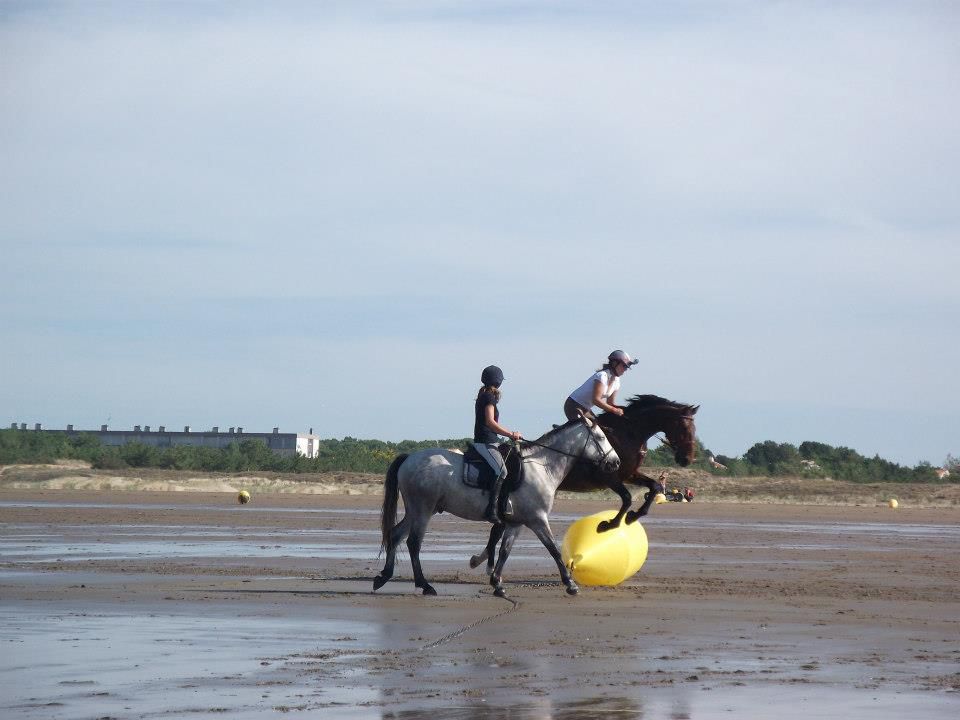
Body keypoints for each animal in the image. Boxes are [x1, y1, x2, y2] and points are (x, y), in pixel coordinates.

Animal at [373, 415, 621, 598]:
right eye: (600, 437)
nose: (615, 462)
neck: (541, 466)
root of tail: (409, 458)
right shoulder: (537, 519)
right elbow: (553, 549)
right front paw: (570, 584)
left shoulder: (515, 523)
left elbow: (504, 551)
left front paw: (497, 584)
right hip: (423, 510)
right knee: (413, 543)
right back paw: (424, 585)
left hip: (417, 511)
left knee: (395, 535)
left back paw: (383, 576)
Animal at [469, 395, 698, 573]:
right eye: (685, 428)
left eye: (694, 429)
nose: (687, 459)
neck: (629, 433)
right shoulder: (610, 477)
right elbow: (626, 498)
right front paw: (608, 524)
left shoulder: (629, 474)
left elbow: (655, 487)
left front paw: (634, 516)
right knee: (498, 527)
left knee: (498, 527)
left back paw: (481, 559)